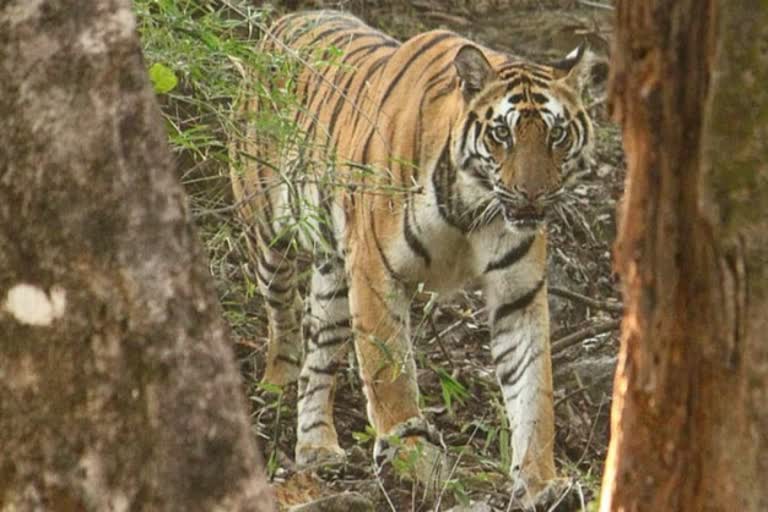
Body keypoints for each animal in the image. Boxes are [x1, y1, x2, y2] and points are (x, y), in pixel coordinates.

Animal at [231, 10, 596, 502]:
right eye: (502, 134)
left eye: (556, 135)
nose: (532, 195)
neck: (471, 208)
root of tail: (284, 19)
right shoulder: (375, 273)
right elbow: (391, 375)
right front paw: (413, 455)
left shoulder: (518, 295)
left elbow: (533, 391)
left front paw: (541, 481)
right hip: (270, 233)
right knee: (283, 317)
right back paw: (277, 384)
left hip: (333, 277)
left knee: (319, 359)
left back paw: (318, 447)